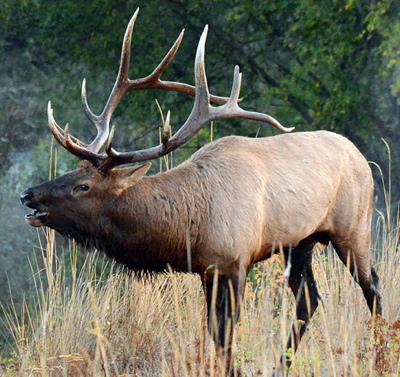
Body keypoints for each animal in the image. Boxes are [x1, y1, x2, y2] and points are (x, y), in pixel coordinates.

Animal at [21, 8, 382, 374]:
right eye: (72, 171)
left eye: (83, 186)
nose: (28, 195)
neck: (189, 225)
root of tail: (361, 158)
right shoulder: (207, 269)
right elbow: (214, 333)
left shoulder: (236, 260)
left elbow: (226, 332)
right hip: (300, 241)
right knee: (308, 299)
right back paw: (283, 364)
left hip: (353, 227)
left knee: (372, 287)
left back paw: (379, 353)